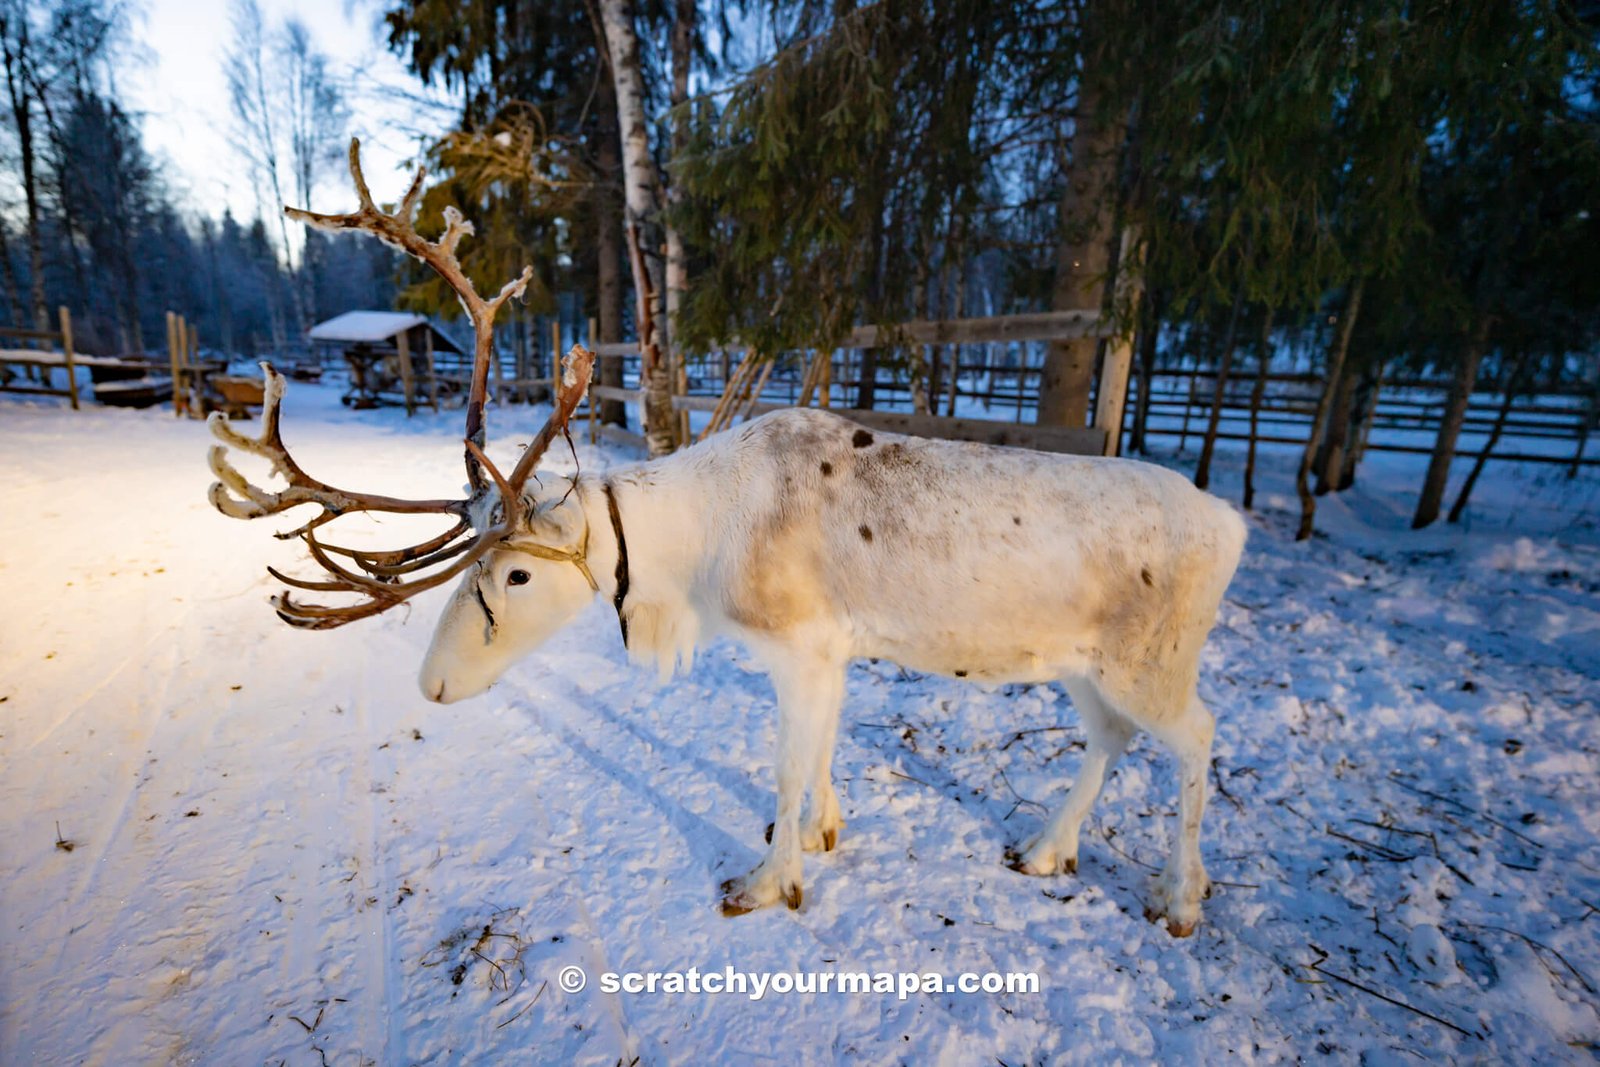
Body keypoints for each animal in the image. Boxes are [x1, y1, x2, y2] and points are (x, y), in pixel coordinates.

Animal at [209, 139, 1248, 937]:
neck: (696, 559)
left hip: (1152, 660)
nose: (430, 682)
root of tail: (1234, 522)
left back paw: (1181, 897)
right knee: (1112, 739)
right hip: (1087, 663)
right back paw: (1046, 849)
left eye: (515, 577)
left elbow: (787, 767)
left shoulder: (801, 643)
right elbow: (819, 756)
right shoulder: (832, 651)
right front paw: (825, 836)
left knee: (1198, 735)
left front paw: (768, 881)